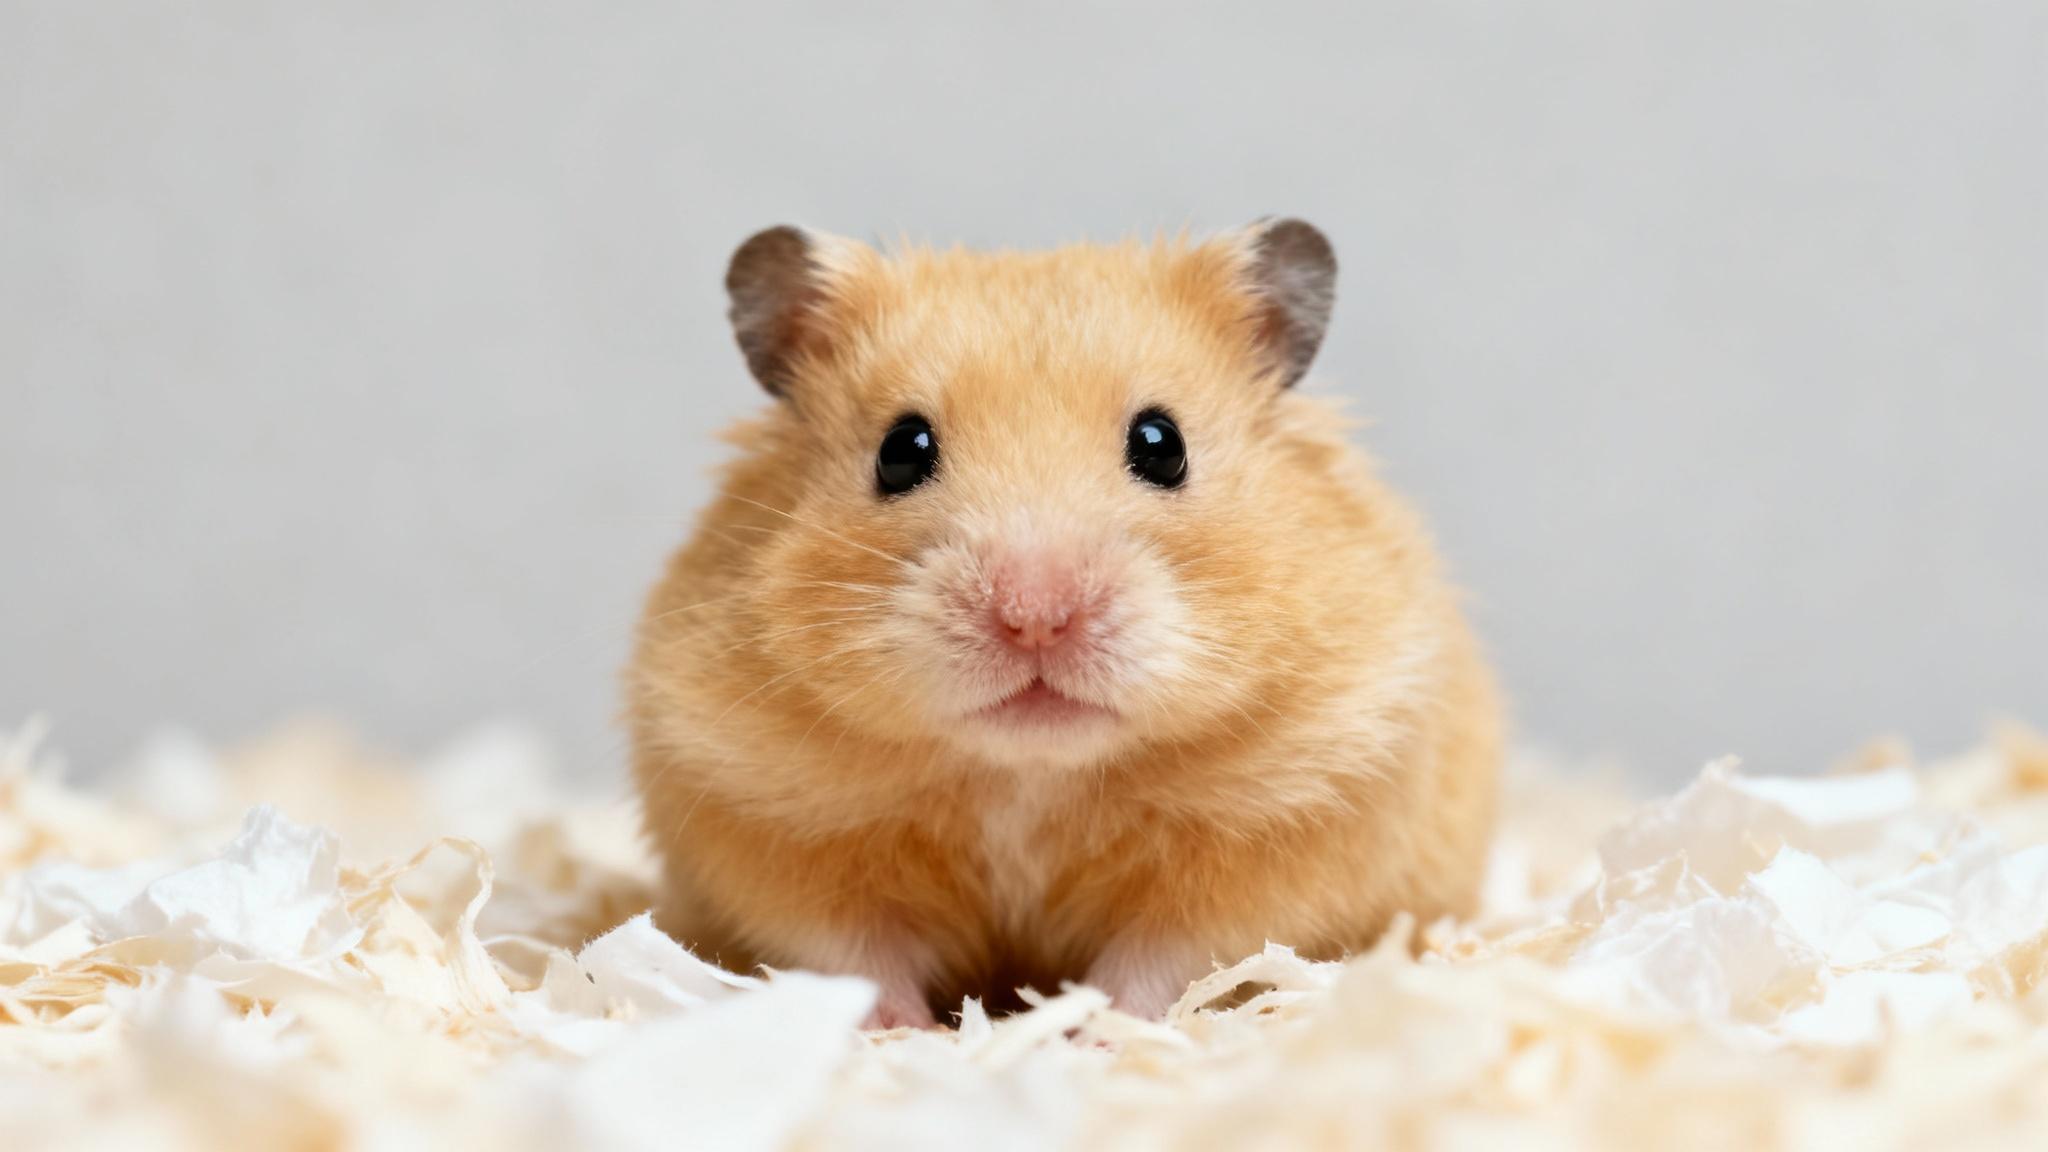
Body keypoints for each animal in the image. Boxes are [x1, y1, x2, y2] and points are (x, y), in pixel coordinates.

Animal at [627, 219, 1500, 1027]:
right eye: (901, 450)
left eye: (1163, 444)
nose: (1035, 618)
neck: (1029, 777)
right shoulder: (758, 811)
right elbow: (854, 953)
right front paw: (899, 1034)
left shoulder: (1296, 818)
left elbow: (1170, 958)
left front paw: (1095, 1034)